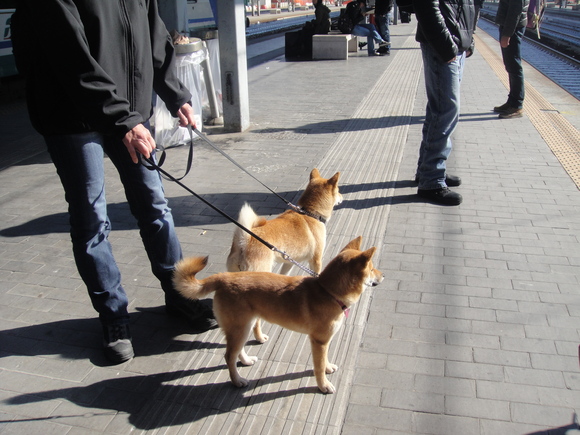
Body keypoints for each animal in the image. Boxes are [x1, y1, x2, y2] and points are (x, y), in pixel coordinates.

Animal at [173, 238, 386, 396]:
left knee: (235, 352)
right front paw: (323, 385)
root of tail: (223, 277)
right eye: (372, 268)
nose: (383, 276)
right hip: (240, 328)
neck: (328, 291)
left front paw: (327, 368)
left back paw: (246, 361)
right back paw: (237, 381)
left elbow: (324, 361)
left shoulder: (324, 342)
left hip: (243, 326)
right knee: (228, 356)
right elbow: (317, 367)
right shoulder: (318, 341)